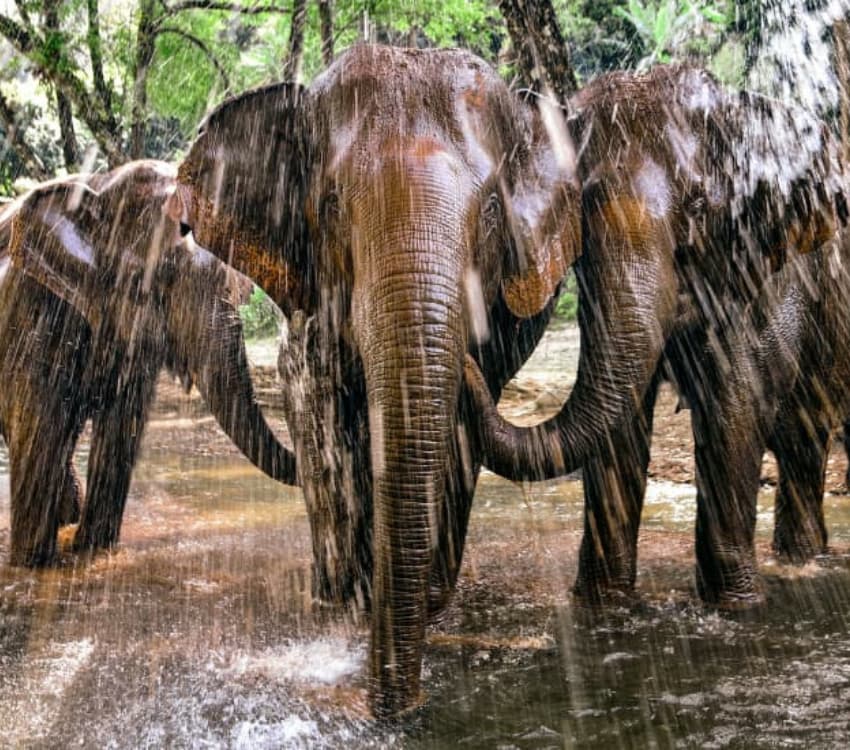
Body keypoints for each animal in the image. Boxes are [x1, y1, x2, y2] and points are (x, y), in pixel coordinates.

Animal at [0, 159, 297, 568]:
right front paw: (34, 565)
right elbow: (41, 420)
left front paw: (92, 550)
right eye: (161, 276)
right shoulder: (35, 305)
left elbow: (121, 424)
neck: (104, 186)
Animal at [173, 45, 579, 716]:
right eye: (332, 205)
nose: (392, 709)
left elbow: (455, 435)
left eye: (493, 211)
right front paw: (354, 600)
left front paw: (419, 600)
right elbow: (330, 417)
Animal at [465, 65, 848, 605]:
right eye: (582, 208)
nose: (468, 363)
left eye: (696, 205)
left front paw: (736, 606)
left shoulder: (773, 266)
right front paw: (604, 606)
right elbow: (621, 421)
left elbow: (734, 408)